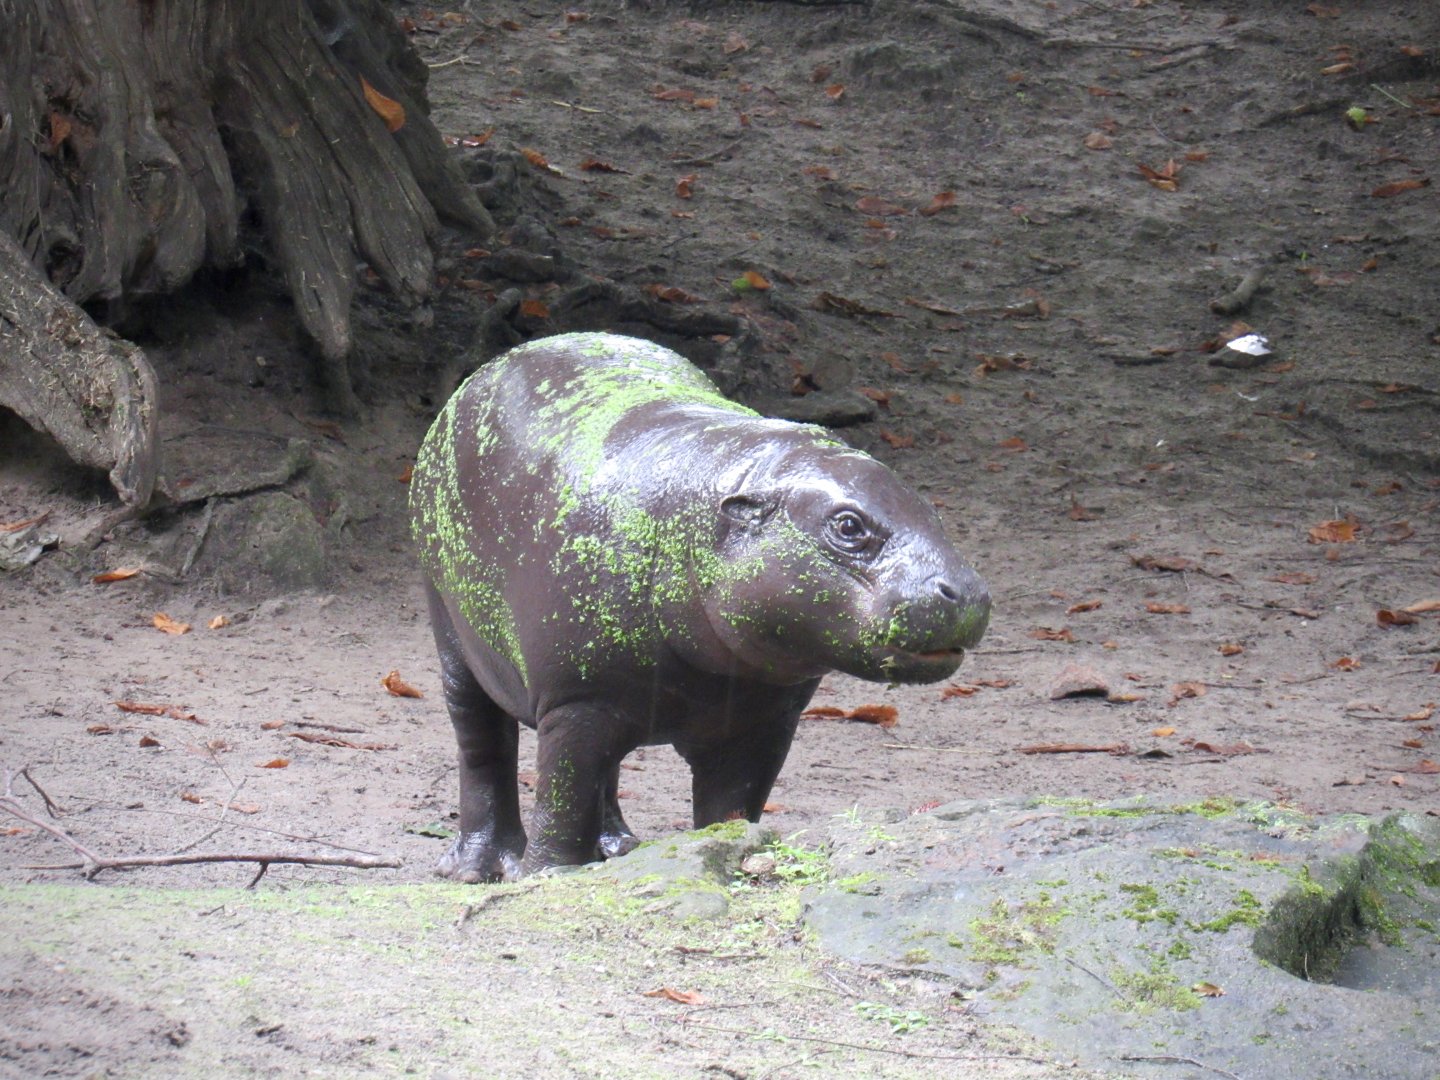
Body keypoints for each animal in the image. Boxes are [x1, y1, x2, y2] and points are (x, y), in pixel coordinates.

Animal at [410, 332, 989, 880]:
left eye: (932, 511)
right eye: (848, 525)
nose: (970, 592)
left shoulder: (763, 720)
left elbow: (729, 809)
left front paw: (724, 852)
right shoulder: (575, 701)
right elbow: (562, 803)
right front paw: (547, 876)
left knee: (607, 773)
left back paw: (617, 848)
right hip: (454, 636)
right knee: (483, 746)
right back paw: (480, 868)